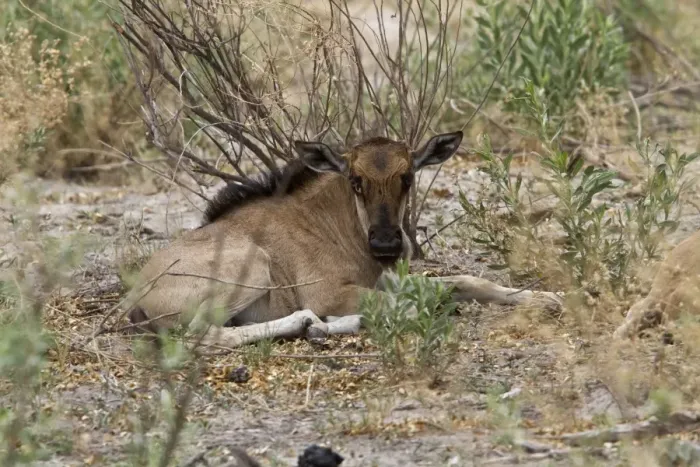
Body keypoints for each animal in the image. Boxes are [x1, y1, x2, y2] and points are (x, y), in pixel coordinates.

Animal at [124, 132, 562, 349]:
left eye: (408, 177)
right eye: (355, 180)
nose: (387, 245)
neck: (338, 225)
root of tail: (137, 295)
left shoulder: (393, 280)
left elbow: (467, 281)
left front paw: (546, 298)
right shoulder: (331, 293)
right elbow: (407, 305)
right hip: (252, 268)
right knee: (204, 336)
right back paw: (305, 323)